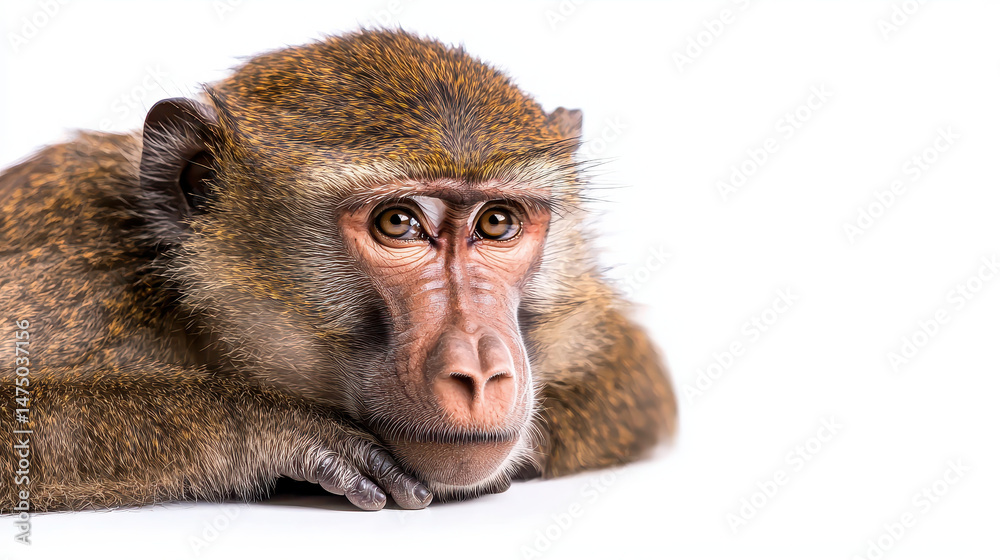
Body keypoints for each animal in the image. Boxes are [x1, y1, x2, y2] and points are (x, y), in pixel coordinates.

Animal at [0, 29, 677, 513]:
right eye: (399, 223)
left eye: (496, 223)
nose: (483, 370)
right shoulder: (70, 256)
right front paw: (279, 430)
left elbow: (636, 372)